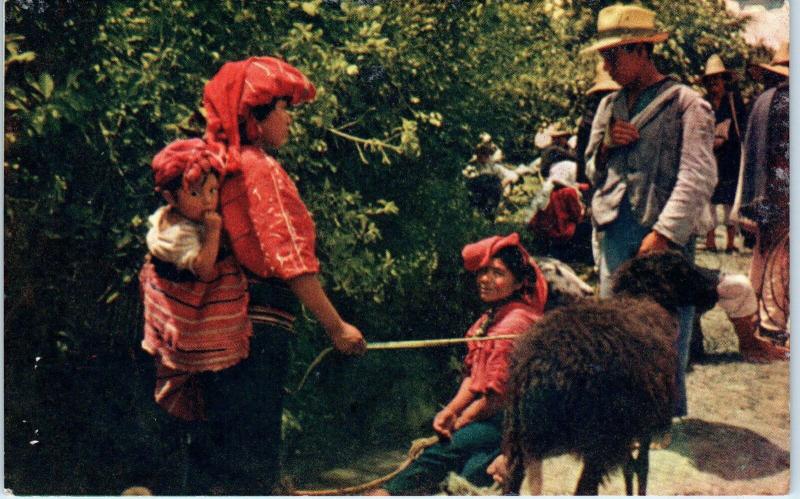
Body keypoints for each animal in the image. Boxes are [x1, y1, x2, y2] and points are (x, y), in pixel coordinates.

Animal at [504, 252, 716, 494]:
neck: (646, 299)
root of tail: (538, 369)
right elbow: (642, 467)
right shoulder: (642, 423)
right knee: (585, 488)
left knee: (511, 481)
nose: (714, 292)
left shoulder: (627, 429)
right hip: (598, 439)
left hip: (518, 437)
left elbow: (629, 467)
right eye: (684, 271)